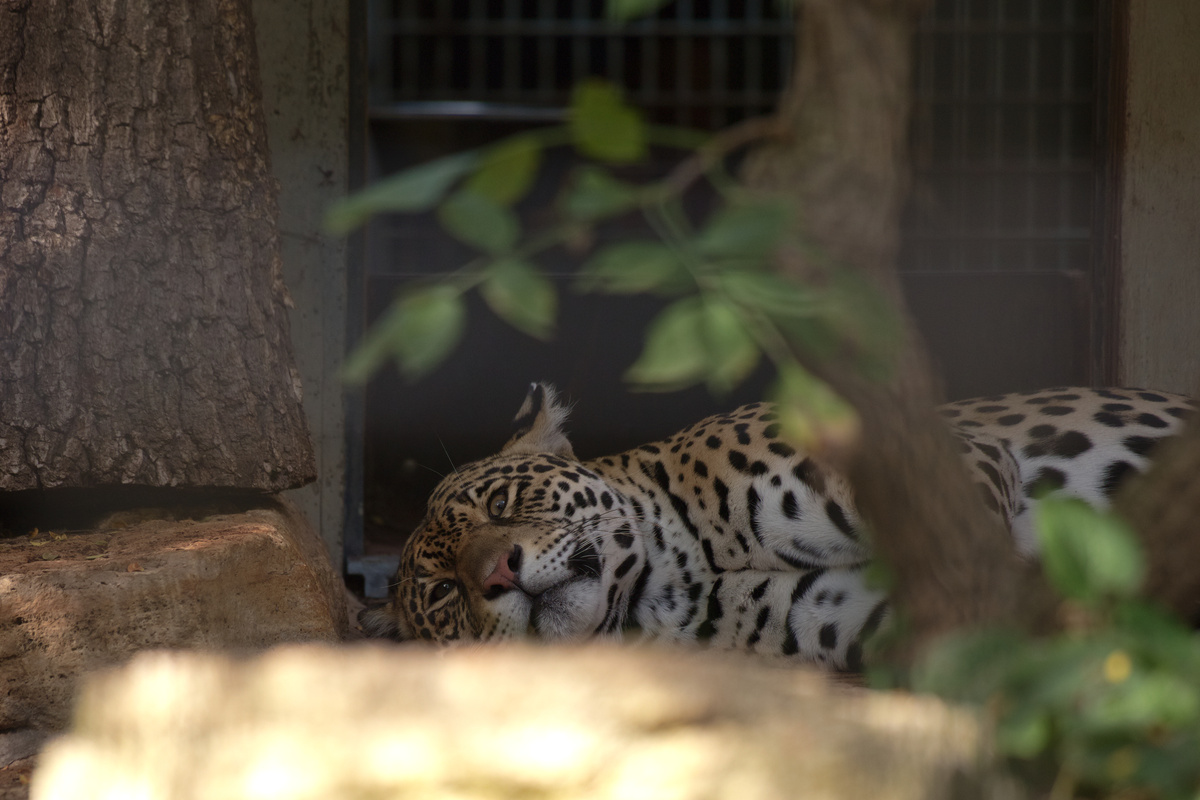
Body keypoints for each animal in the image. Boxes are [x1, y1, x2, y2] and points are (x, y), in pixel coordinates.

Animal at [362, 382, 1193, 670]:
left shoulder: (944, 460)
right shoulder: (839, 616)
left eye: (502, 504)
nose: (499, 572)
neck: (680, 575)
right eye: (444, 595)